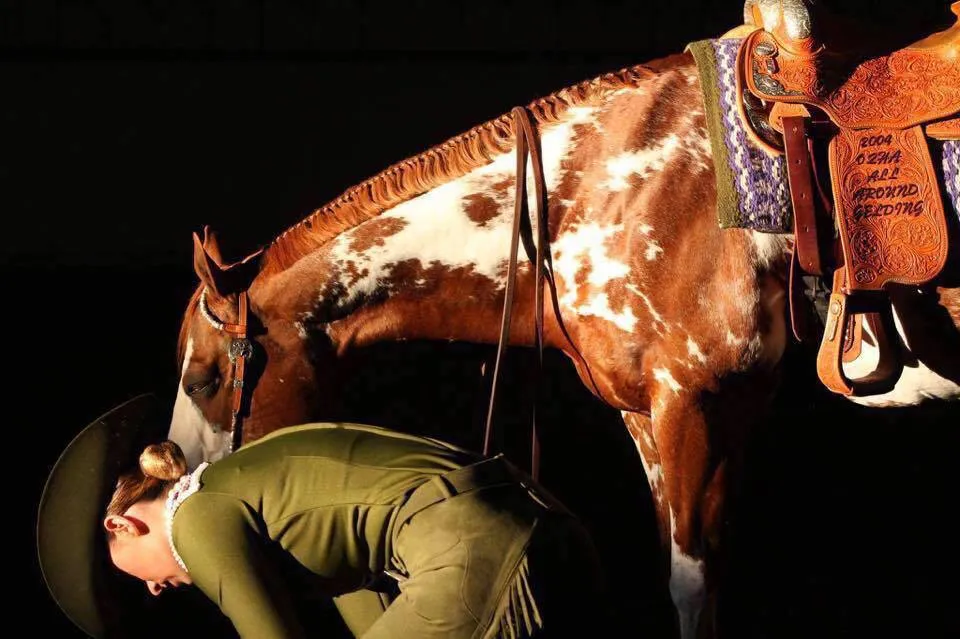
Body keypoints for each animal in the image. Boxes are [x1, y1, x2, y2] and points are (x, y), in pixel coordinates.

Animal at [167, 4, 960, 637]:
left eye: (204, 379)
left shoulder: (696, 404)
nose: (173, 483)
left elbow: (692, 590)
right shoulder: (652, 415)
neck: (606, 190)